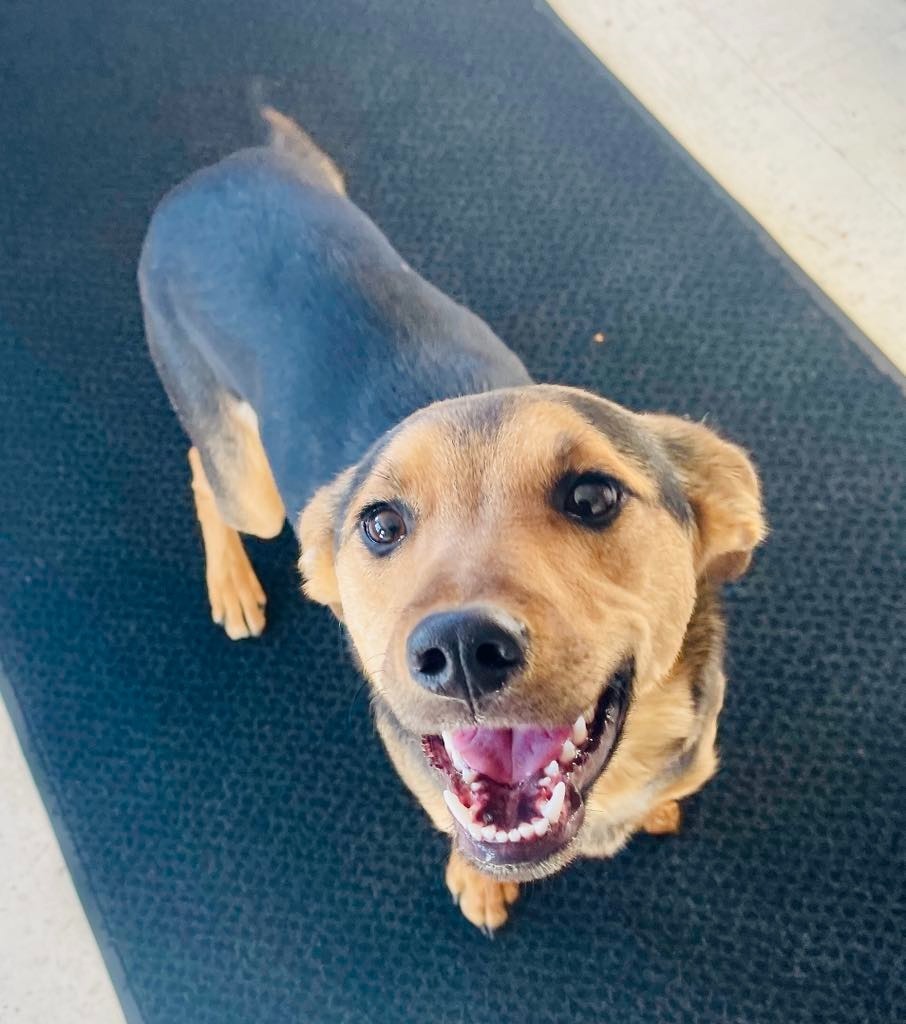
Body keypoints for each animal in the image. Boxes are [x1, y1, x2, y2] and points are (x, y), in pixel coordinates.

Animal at [139, 108, 761, 933]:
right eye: (380, 525)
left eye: (593, 498)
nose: (462, 650)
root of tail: (213, 175)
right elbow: (455, 827)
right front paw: (476, 876)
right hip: (253, 491)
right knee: (202, 471)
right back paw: (232, 583)